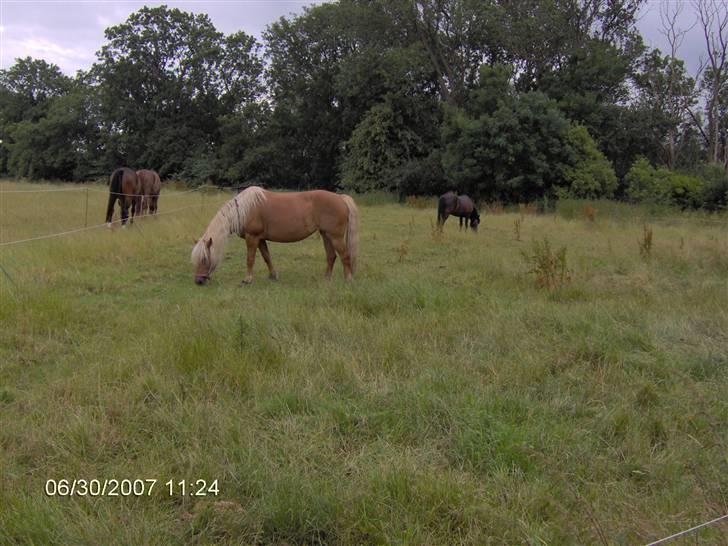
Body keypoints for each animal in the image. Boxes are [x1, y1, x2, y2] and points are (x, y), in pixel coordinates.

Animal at [189, 186, 356, 284]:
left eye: (204, 259)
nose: (198, 281)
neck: (243, 210)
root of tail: (340, 198)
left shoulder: (252, 237)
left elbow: (250, 259)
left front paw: (247, 279)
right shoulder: (261, 239)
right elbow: (266, 257)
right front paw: (273, 276)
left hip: (335, 236)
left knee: (344, 255)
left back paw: (348, 279)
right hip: (326, 235)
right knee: (331, 256)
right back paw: (326, 279)